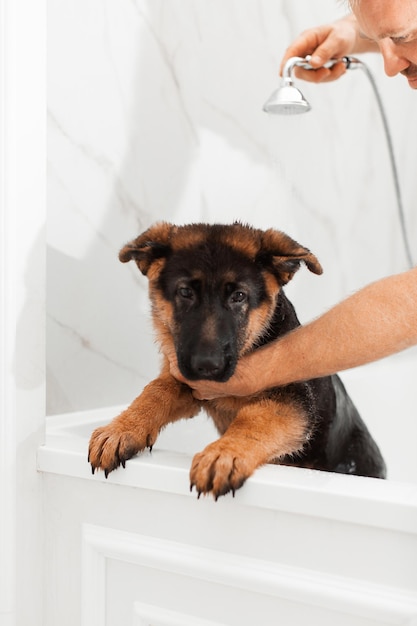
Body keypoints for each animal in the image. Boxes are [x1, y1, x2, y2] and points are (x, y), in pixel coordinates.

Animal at [88, 222, 386, 494]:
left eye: (238, 296)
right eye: (185, 292)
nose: (207, 365)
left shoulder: (295, 403)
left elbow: (254, 419)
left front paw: (223, 454)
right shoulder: (187, 380)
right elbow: (157, 389)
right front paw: (121, 428)